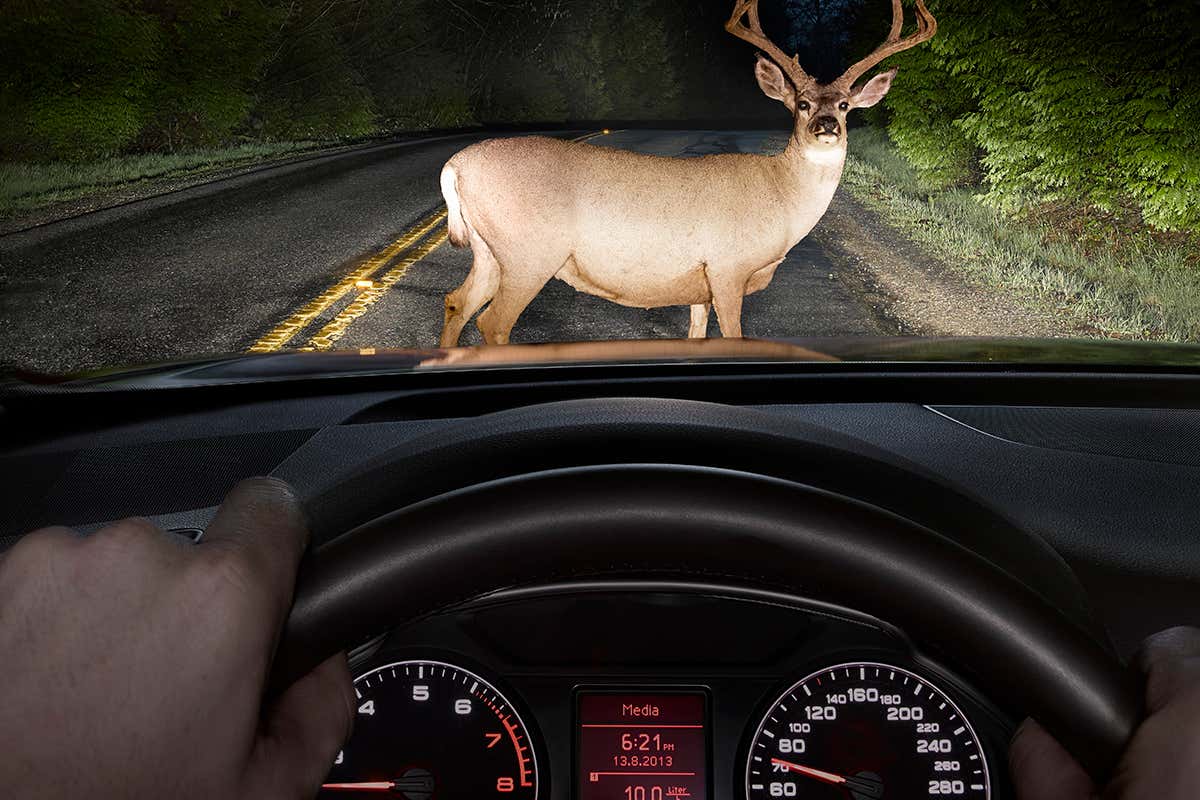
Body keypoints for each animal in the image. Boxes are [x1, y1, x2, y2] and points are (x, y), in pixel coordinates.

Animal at [438, 0, 936, 347]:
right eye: (802, 104)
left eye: (846, 105)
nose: (827, 125)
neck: (780, 197)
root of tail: (454, 166)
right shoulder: (729, 266)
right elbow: (733, 335)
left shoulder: (700, 283)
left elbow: (696, 334)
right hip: (531, 252)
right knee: (493, 322)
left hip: (490, 251)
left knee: (456, 302)